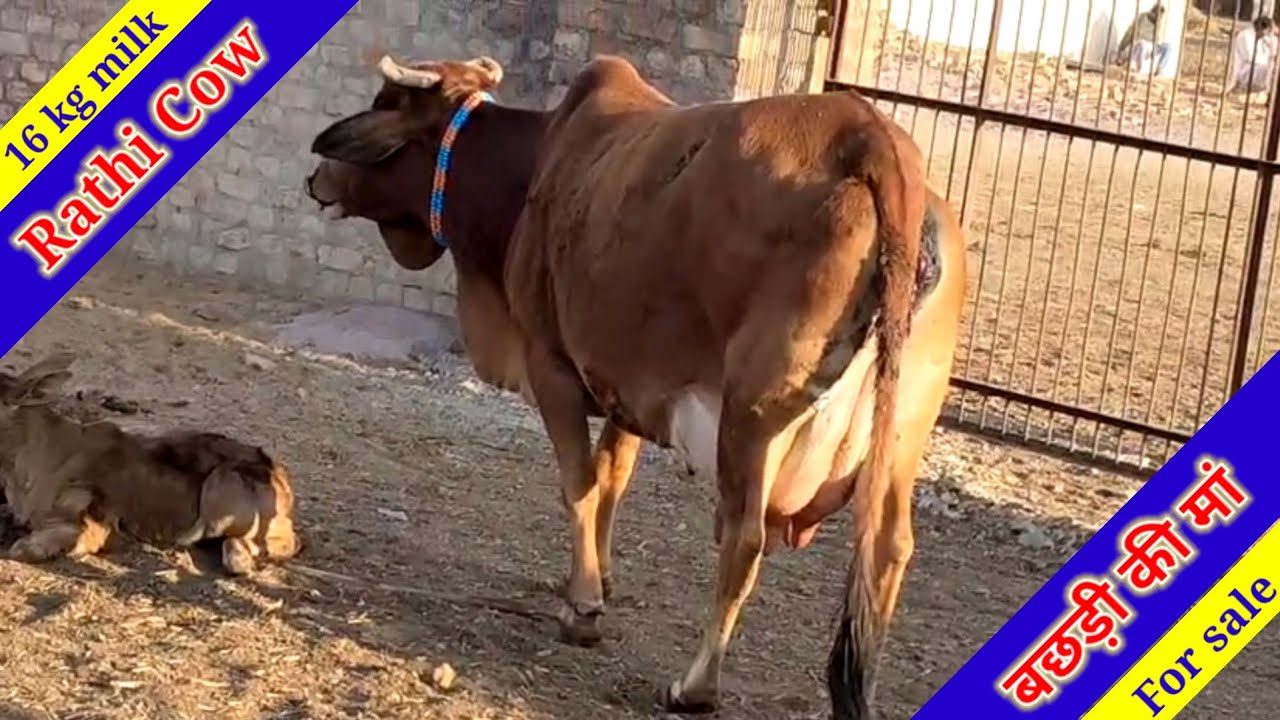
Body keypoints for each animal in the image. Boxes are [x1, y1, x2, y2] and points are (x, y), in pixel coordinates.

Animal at [305, 53, 966, 719]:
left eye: (384, 102)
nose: (317, 178)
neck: (532, 167)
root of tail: (875, 140)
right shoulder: (627, 385)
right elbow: (611, 478)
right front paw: (595, 575)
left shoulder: (552, 366)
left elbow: (579, 481)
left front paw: (583, 606)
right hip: (903, 427)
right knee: (887, 546)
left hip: (751, 416)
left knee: (744, 538)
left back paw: (695, 685)